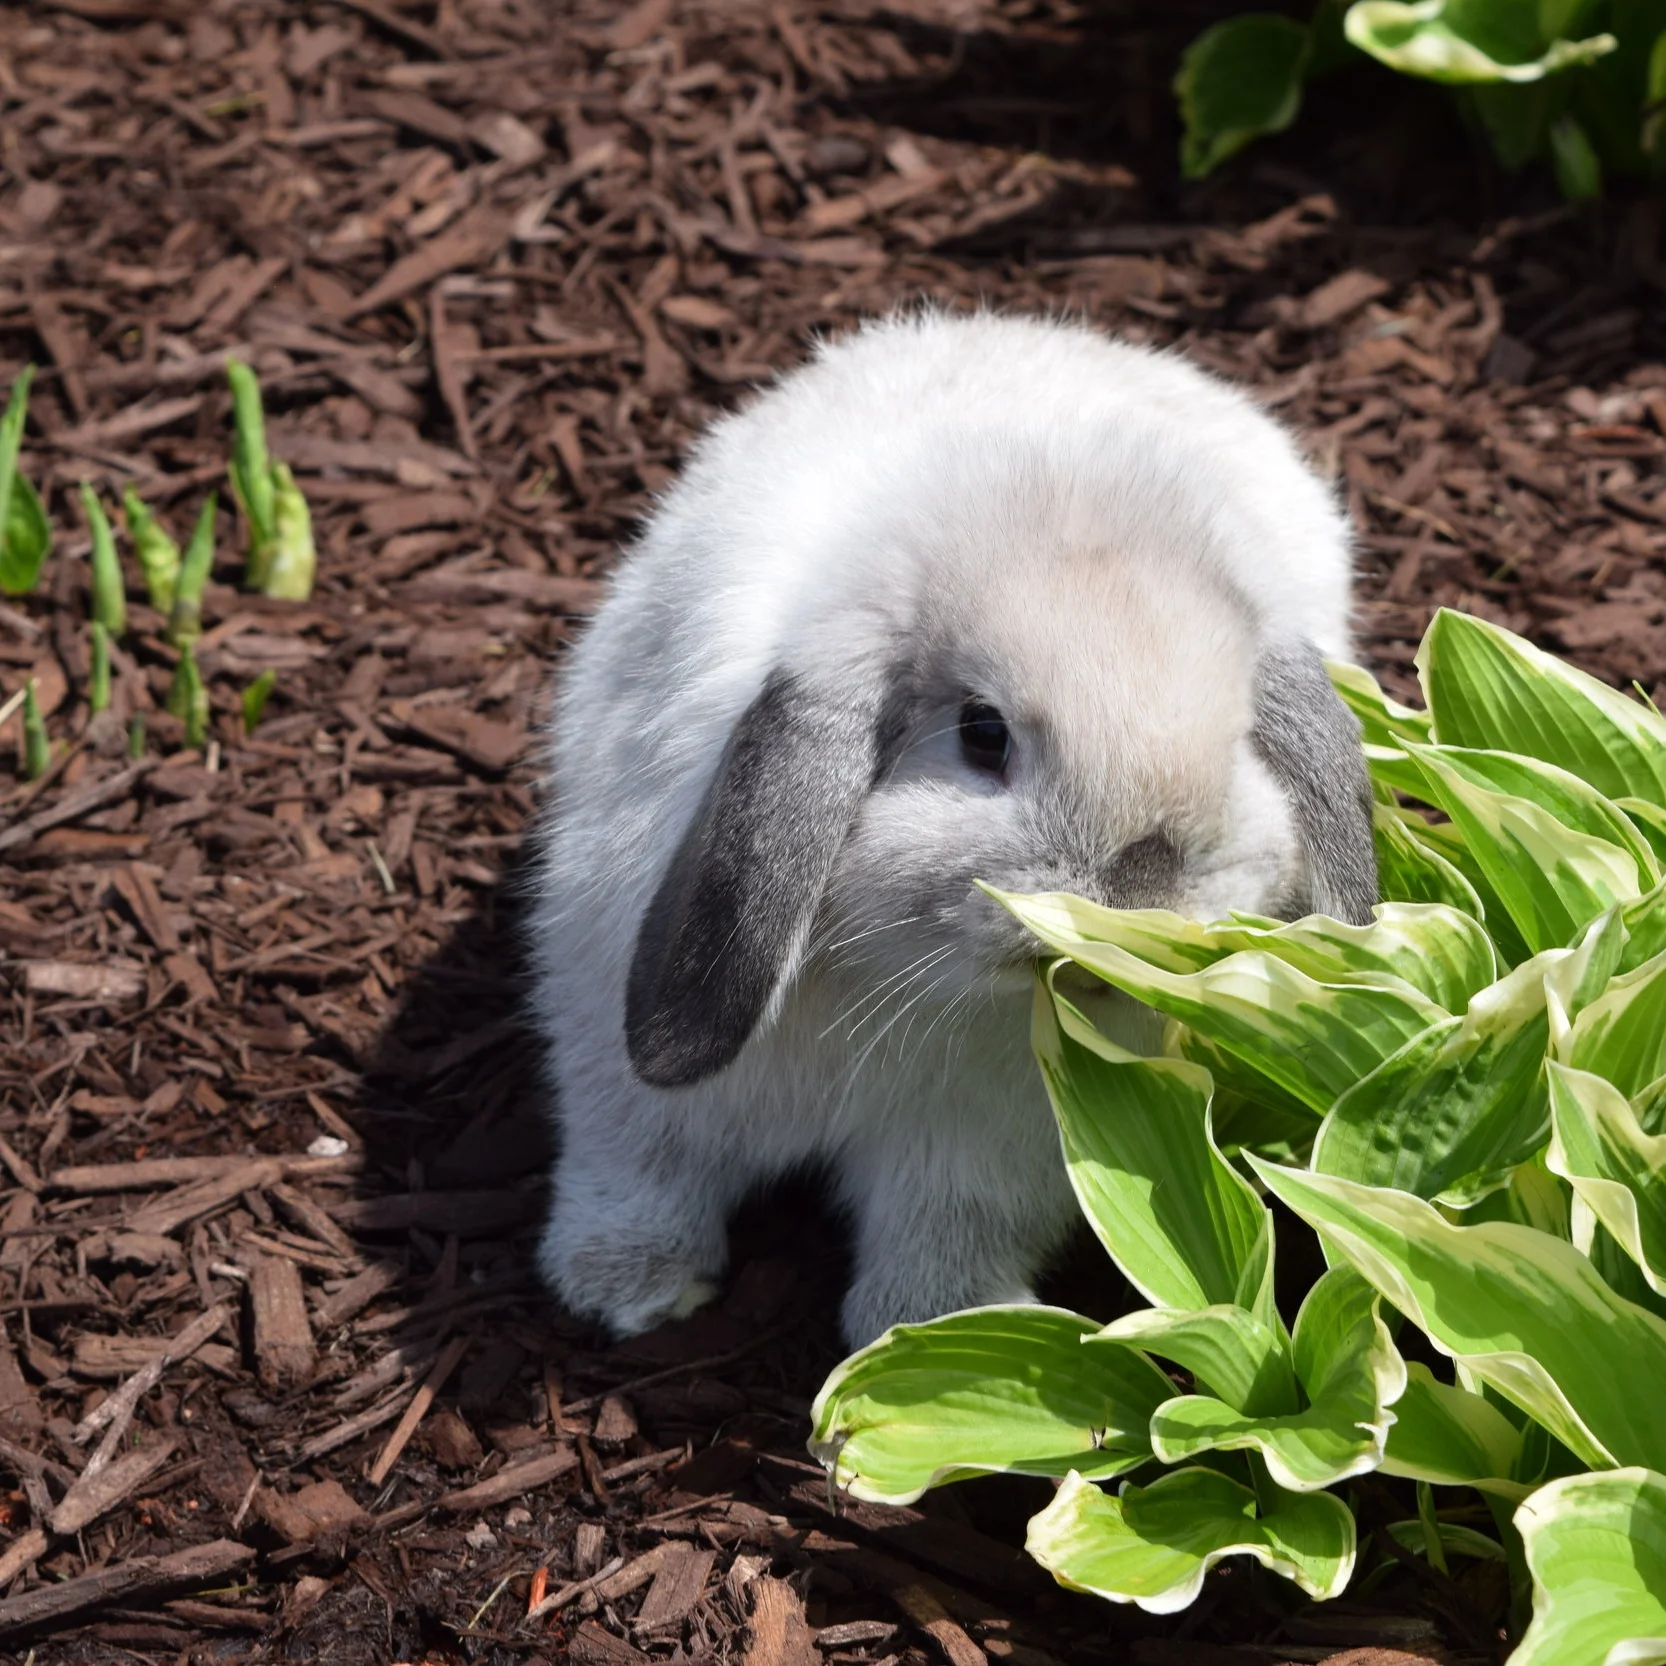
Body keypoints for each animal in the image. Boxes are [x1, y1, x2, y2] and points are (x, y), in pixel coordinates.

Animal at [528, 309, 1376, 1351]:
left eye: (1241, 738)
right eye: (981, 733)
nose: (1140, 893)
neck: (907, 981)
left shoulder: (978, 1158)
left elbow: (939, 1233)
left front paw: (935, 1327)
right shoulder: (627, 1077)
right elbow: (639, 1167)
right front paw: (629, 1289)